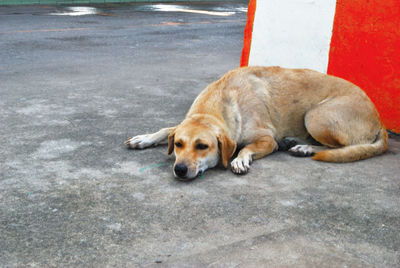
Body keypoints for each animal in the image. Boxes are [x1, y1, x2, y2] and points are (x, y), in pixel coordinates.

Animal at [125, 66, 388, 181]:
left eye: (202, 147)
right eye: (179, 145)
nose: (179, 169)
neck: (220, 102)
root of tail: (379, 119)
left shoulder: (266, 139)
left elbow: (247, 148)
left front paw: (240, 159)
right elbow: (166, 129)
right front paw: (144, 138)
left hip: (315, 115)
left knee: (342, 146)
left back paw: (305, 147)